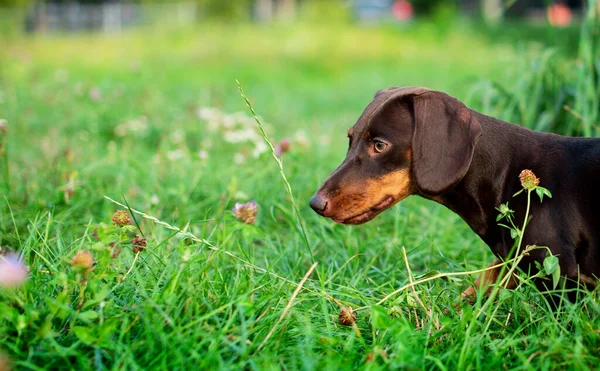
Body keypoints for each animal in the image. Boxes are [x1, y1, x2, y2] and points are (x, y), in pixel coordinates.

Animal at [310, 86, 600, 300]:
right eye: (350, 139)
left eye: (380, 145)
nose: (315, 204)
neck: (506, 174)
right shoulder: (507, 265)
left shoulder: (558, 275)